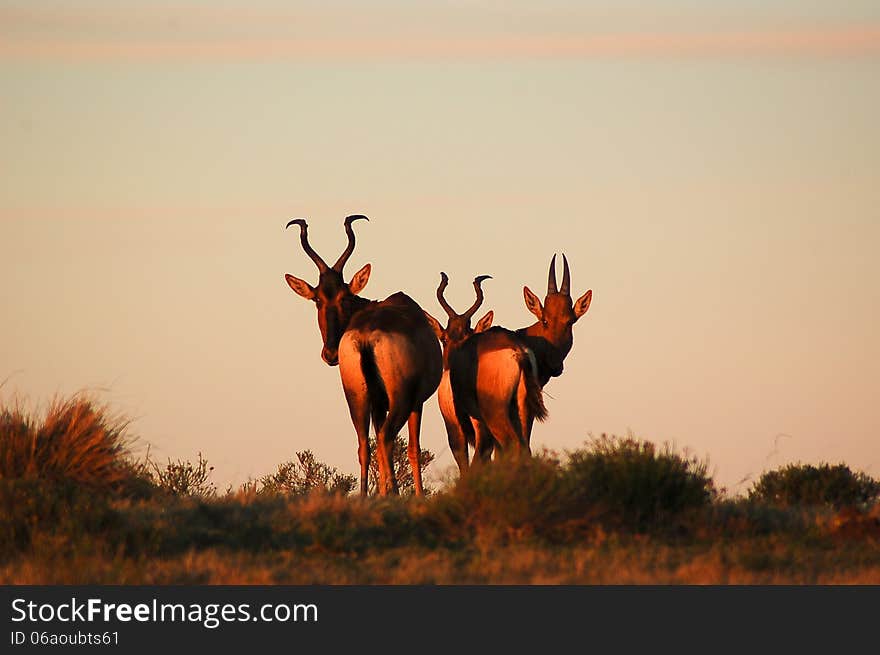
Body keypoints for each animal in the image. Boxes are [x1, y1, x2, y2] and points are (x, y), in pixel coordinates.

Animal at [286, 217, 444, 498]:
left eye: (344, 296)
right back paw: (393, 494)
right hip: (399, 400)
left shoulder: (377, 403)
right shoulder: (417, 402)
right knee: (385, 439)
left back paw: (363, 496)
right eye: (317, 299)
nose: (330, 354)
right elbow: (414, 450)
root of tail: (366, 334)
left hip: (356, 397)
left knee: (364, 444)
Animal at [424, 272, 548, 472]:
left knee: (511, 445)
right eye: (445, 338)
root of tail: (518, 350)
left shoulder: (457, 428)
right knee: (524, 449)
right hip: (522, 413)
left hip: (494, 415)